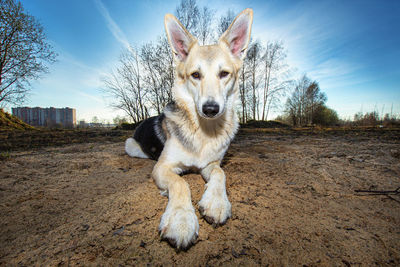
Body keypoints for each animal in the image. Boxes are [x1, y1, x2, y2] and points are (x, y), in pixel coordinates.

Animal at [125, 8, 253, 251]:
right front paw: (181, 219)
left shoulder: (212, 165)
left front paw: (216, 202)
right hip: (131, 146)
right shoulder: (163, 167)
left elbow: (221, 174)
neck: (204, 131)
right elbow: (181, 182)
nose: (211, 109)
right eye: (195, 75)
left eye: (224, 74)